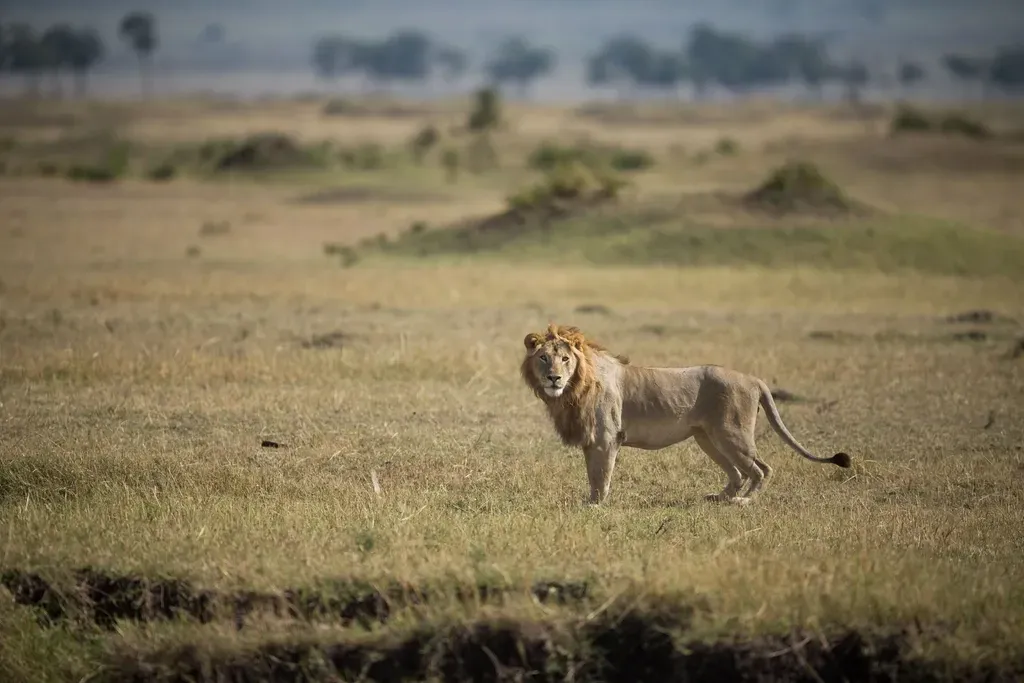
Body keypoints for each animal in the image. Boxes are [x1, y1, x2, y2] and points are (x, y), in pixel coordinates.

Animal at [520, 323, 851, 506]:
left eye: (565, 359)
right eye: (544, 358)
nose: (553, 378)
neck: (572, 390)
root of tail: (754, 379)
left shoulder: (606, 437)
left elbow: (602, 475)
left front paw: (596, 505)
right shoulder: (591, 441)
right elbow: (592, 475)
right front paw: (590, 501)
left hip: (732, 434)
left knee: (761, 469)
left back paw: (743, 502)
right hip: (707, 438)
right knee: (737, 473)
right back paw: (720, 498)